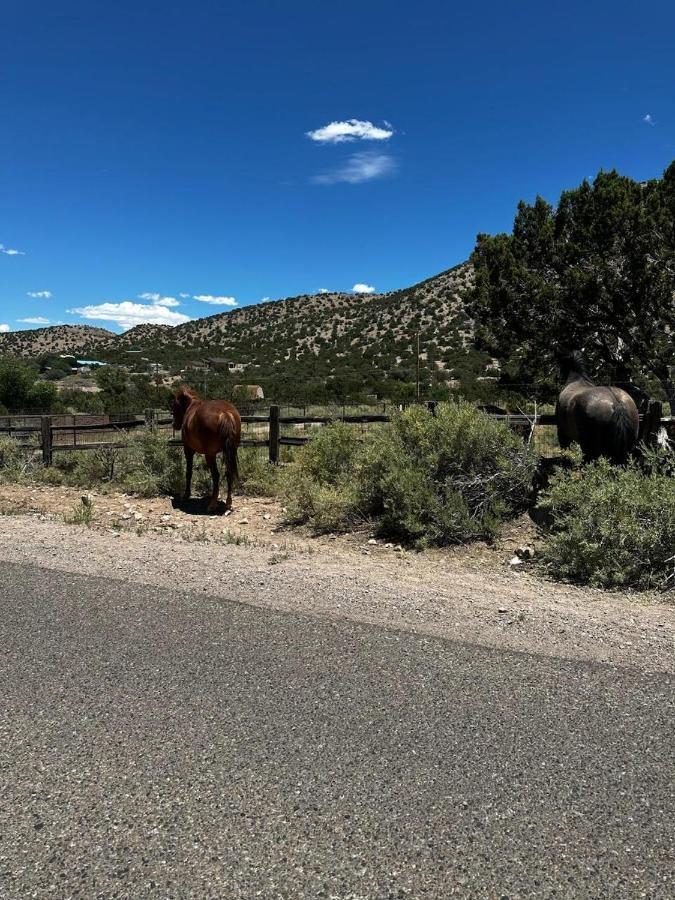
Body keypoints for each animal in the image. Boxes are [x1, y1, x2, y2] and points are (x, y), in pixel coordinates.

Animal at [170, 384, 242, 512]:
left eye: (174, 405)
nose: (174, 425)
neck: (191, 407)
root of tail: (225, 412)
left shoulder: (188, 450)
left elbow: (189, 472)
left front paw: (186, 495)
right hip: (230, 451)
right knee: (229, 472)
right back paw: (228, 503)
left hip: (210, 455)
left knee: (216, 475)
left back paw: (212, 504)